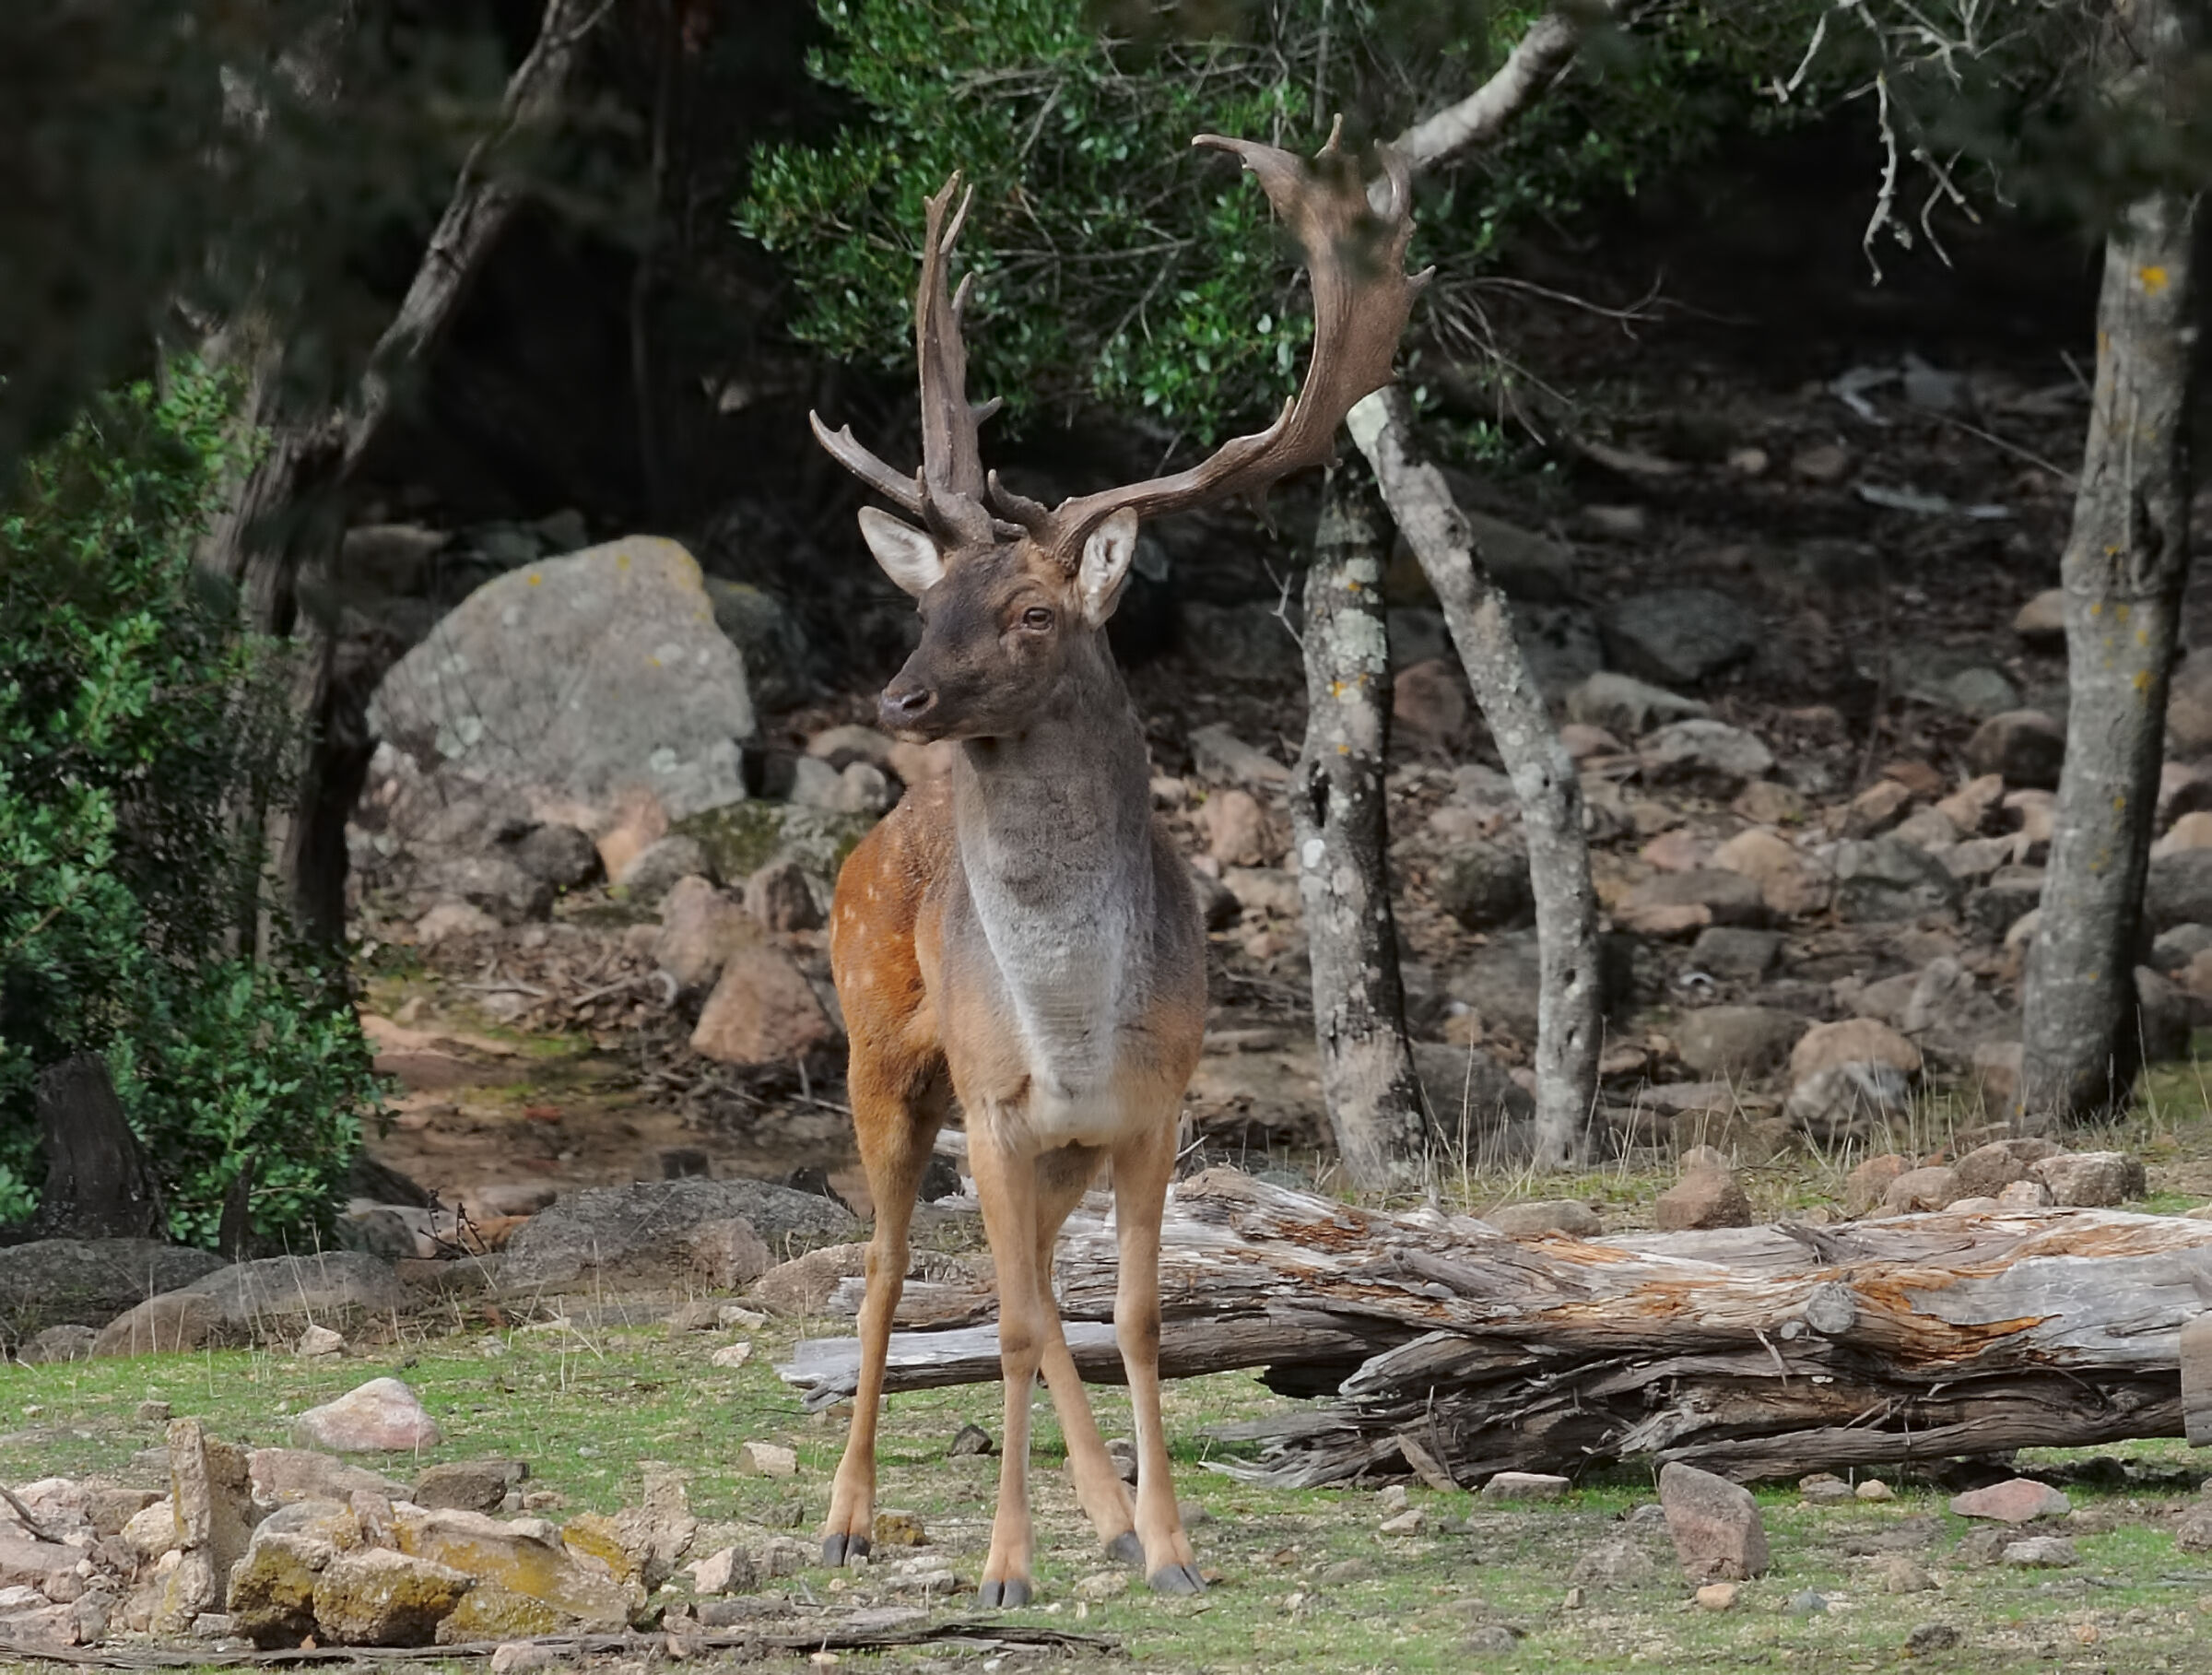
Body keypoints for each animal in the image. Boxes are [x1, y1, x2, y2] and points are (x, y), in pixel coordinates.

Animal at [808, 120, 1424, 1607]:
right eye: (928, 599)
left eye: (1035, 611)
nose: (902, 695)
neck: (1077, 1021)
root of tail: (873, 839)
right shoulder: (994, 1105)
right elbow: (1017, 1324)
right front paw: (1004, 1566)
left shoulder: (1152, 1108)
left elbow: (1130, 1315)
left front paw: (1168, 1546)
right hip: (881, 1055)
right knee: (892, 1268)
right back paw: (850, 1516)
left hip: (1046, 1147)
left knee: (1033, 1285)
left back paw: (1101, 1516)